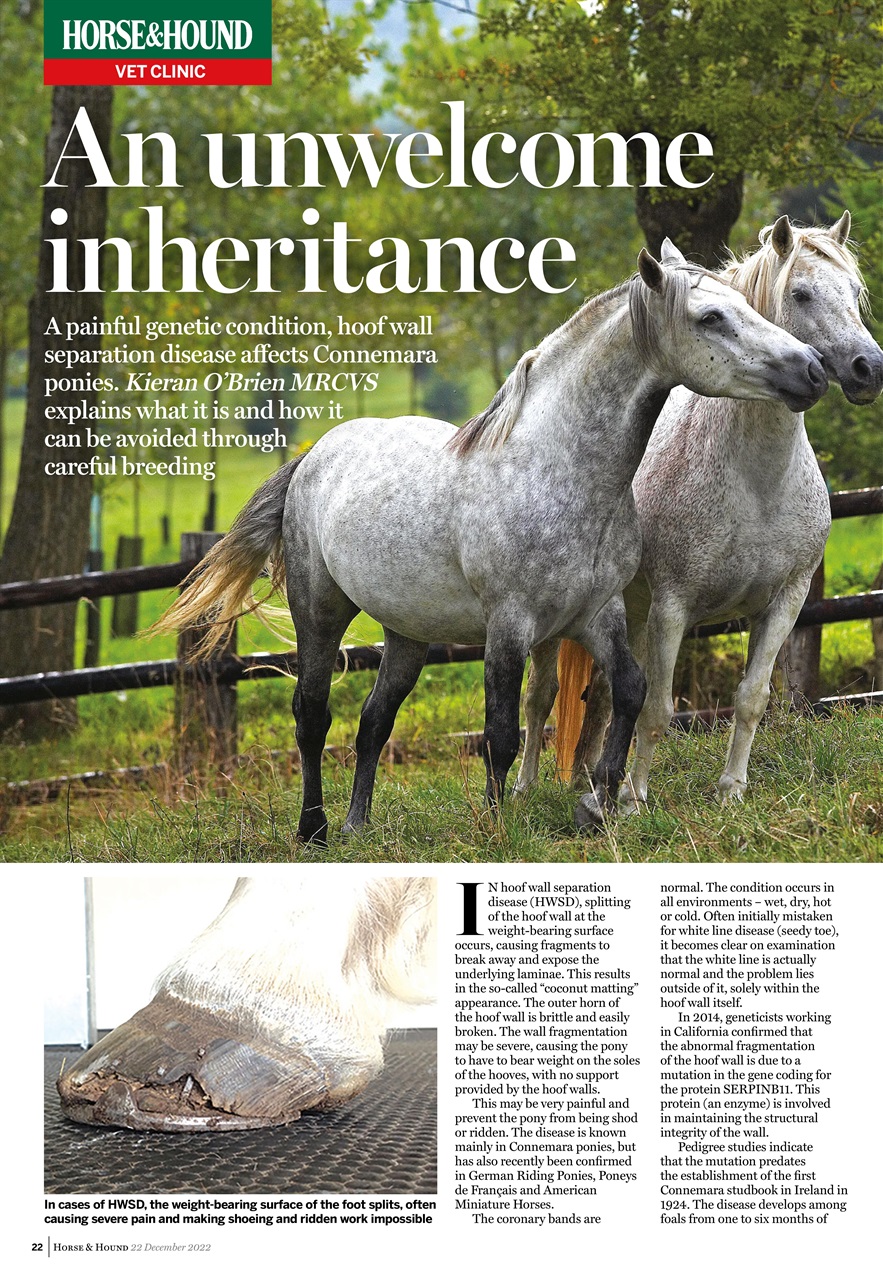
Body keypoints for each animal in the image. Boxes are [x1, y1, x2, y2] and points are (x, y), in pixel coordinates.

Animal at [157, 246, 827, 838]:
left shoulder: (597, 614)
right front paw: (498, 825)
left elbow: (631, 691)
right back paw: (314, 829)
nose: (812, 370)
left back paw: (357, 825)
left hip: (408, 634)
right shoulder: (510, 624)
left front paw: (597, 804)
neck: (558, 471)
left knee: (374, 721)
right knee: (312, 717)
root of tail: (313, 456)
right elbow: (501, 733)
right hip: (319, 613)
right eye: (710, 317)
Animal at [520, 213, 882, 821]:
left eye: (856, 293)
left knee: (600, 697)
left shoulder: (786, 602)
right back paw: (525, 789)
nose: (868, 369)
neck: (758, 480)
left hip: (624, 611)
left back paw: (588, 784)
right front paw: (636, 800)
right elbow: (658, 709)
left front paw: (731, 789)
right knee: (541, 697)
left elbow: (751, 698)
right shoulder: (672, 607)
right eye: (801, 293)